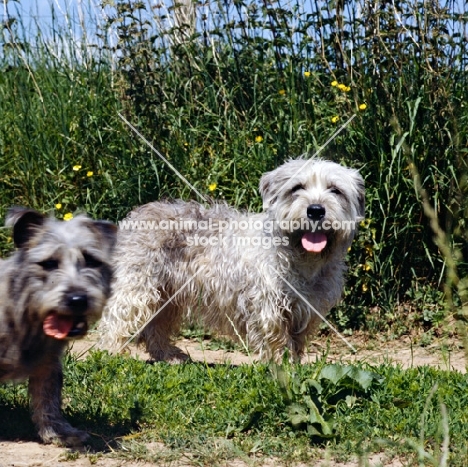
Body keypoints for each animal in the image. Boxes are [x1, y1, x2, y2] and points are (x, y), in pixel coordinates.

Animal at [0, 208, 116, 446]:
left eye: (91, 260)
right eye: (49, 263)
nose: (78, 299)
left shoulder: (49, 363)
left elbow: (48, 398)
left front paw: (59, 432)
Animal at [98, 159, 362, 364]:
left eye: (335, 190)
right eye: (297, 187)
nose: (315, 210)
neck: (304, 260)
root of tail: (136, 215)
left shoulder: (306, 308)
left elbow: (296, 339)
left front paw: (293, 364)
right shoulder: (267, 305)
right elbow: (276, 337)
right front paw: (281, 365)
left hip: (168, 296)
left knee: (155, 328)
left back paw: (169, 355)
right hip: (138, 287)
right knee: (116, 320)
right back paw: (108, 354)